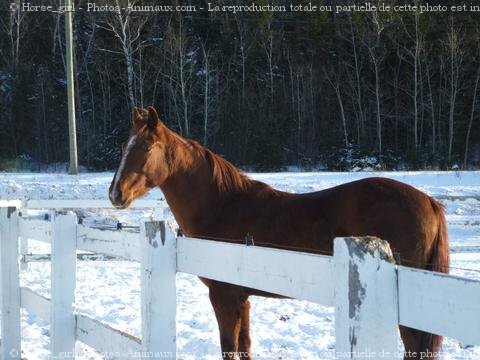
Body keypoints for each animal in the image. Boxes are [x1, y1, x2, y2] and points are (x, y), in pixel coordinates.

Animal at [109, 107, 450, 360]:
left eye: (146, 146)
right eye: (124, 146)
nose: (115, 194)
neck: (223, 204)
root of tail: (429, 202)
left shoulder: (223, 296)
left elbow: (229, 348)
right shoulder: (242, 298)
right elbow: (244, 347)